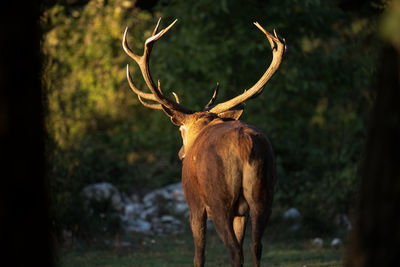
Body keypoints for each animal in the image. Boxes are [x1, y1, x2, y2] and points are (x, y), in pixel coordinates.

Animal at [122, 17, 284, 266]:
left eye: (181, 128)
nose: (180, 154)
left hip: (218, 199)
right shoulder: (242, 211)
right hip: (265, 193)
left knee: (234, 249)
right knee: (256, 246)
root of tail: (245, 145)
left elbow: (199, 254)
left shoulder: (194, 202)